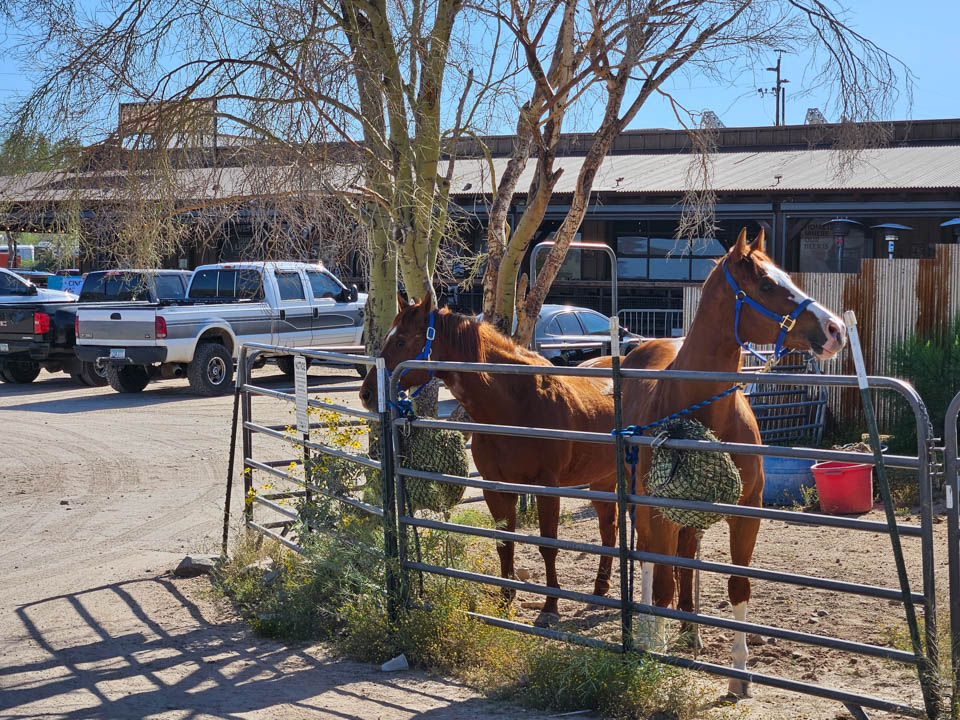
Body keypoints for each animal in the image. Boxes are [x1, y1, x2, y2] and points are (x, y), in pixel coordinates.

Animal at [359, 296, 618, 628]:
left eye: (401, 340)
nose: (367, 394)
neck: (515, 405)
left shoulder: (547, 488)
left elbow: (548, 546)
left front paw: (550, 607)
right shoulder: (496, 488)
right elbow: (504, 544)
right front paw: (505, 602)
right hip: (601, 480)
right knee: (609, 527)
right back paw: (600, 588)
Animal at [618, 228, 846, 697]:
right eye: (767, 285)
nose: (837, 329)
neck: (704, 408)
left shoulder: (747, 512)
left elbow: (738, 586)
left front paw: (740, 673)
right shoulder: (661, 511)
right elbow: (661, 582)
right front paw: (656, 654)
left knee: (686, 557)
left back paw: (691, 631)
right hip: (644, 507)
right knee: (650, 561)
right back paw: (653, 633)